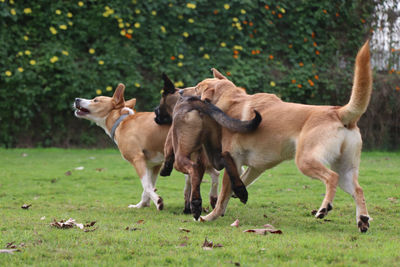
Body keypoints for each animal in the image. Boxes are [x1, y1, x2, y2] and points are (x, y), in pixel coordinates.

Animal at [74, 84, 219, 211]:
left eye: (95, 100)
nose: (77, 99)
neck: (121, 121)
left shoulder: (137, 159)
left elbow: (146, 185)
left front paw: (158, 201)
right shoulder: (153, 165)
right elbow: (148, 186)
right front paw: (142, 205)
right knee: (214, 174)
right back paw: (213, 200)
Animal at [186, 40, 374, 233]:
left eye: (196, 87)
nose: (180, 91)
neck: (232, 100)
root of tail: (338, 112)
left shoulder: (234, 161)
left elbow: (223, 195)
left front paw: (209, 216)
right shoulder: (255, 168)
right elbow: (237, 186)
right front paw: (237, 196)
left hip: (305, 161)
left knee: (332, 178)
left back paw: (324, 207)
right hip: (345, 170)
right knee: (358, 190)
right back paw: (362, 219)